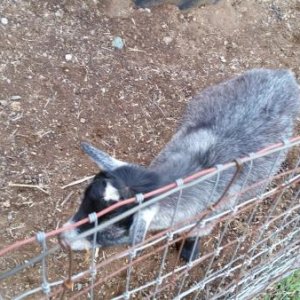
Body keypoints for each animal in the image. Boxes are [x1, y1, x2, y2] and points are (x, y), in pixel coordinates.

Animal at [61, 69, 300, 262]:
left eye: (112, 232)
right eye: (85, 198)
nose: (63, 239)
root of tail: (285, 77)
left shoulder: (209, 218)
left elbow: (194, 234)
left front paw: (189, 251)